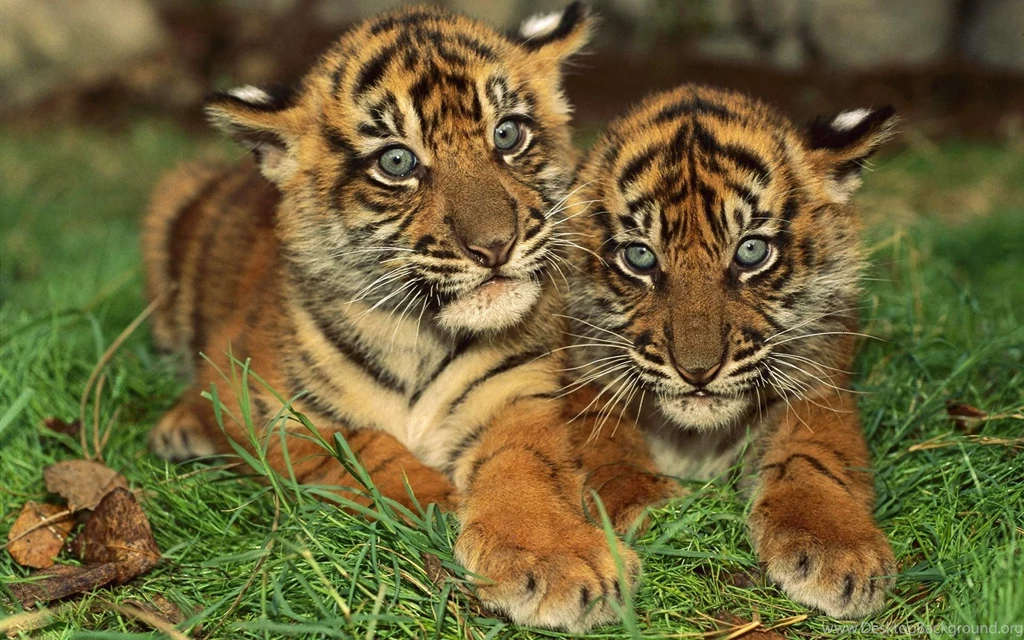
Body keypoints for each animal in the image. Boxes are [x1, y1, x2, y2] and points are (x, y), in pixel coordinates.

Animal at [142, 4, 642, 631]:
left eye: (507, 134)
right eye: (397, 161)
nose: (495, 246)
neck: (419, 334)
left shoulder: (518, 394)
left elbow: (523, 467)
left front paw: (555, 558)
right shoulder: (265, 403)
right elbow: (361, 447)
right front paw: (437, 502)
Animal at [562, 84, 899, 619]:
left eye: (751, 251)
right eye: (640, 257)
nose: (697, 372)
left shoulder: (819, 386)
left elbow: (814, 456)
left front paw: (838, 548)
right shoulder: (583, 382)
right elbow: (610, 451)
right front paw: (653, 510)